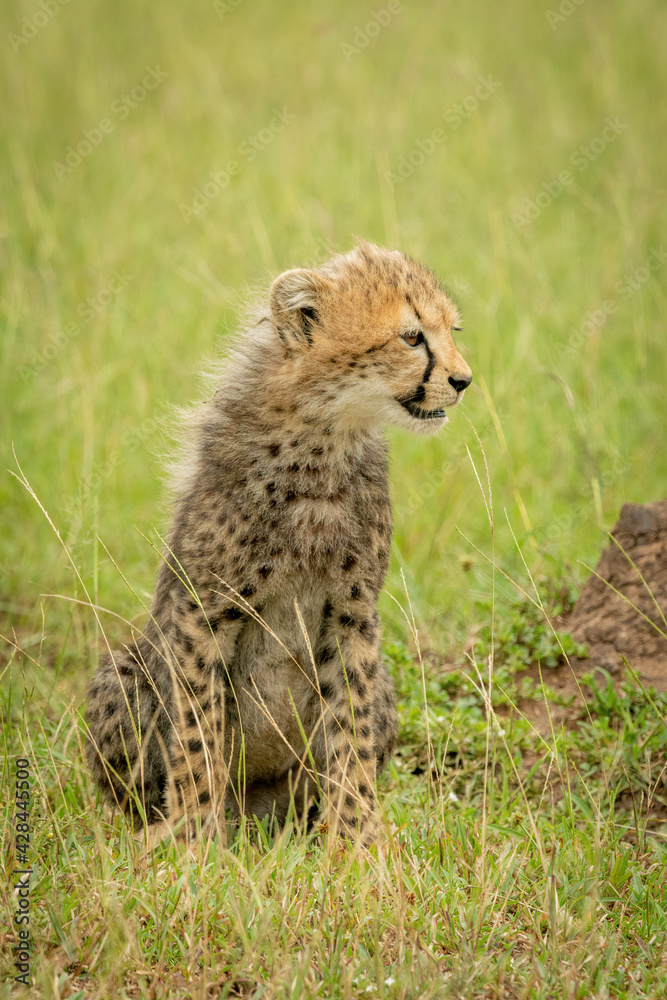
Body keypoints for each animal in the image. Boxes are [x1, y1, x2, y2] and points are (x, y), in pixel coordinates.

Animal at [85, 240, 472, 846]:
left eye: (451, 331)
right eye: (412, 337)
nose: (463, 380)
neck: (324, 435)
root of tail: (255, 813)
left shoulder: (352, 611)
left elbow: (352, 726)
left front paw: (356, 839)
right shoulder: (204, 610)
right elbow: (197, 732)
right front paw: (194, 838)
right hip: (124, 670)